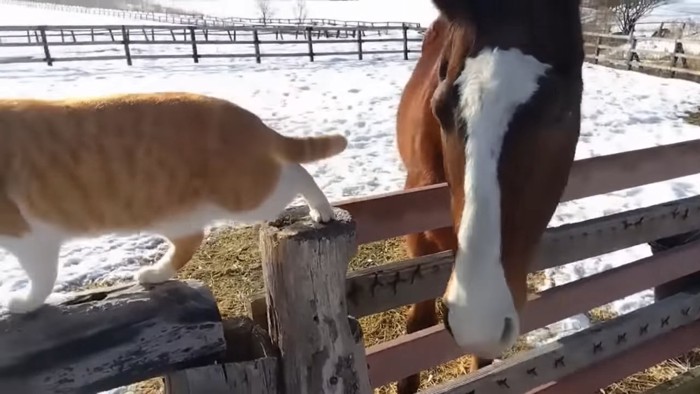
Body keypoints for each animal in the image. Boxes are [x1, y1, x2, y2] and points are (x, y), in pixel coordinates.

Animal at [0, 91, 348, 314]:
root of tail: (251, 120)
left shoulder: (25, 234)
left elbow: (42, 276)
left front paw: (23, 303)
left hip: (248, 195)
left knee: (298, 173)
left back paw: (321, 209)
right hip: (169, 210)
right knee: (190, 240)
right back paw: (154, 274)